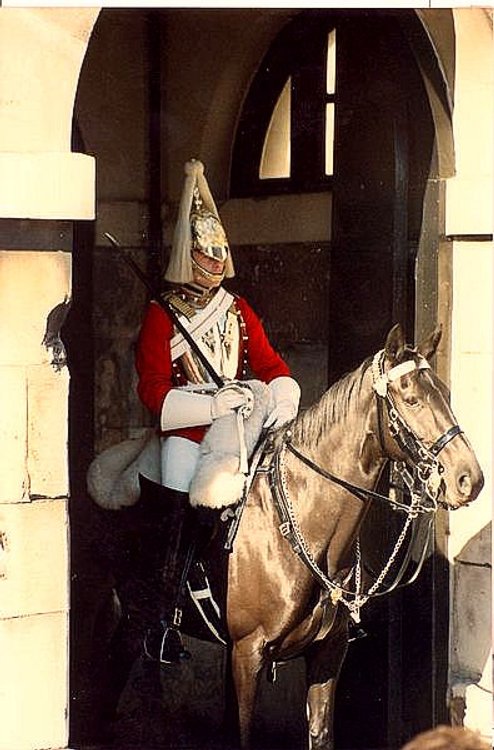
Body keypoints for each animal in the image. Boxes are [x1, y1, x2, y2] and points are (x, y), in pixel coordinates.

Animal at [223, 324, 482, 750]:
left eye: (445, 394)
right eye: (411, 398)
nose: (469, 478)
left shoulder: (328, 651)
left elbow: (321, 733)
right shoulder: (247, 654)